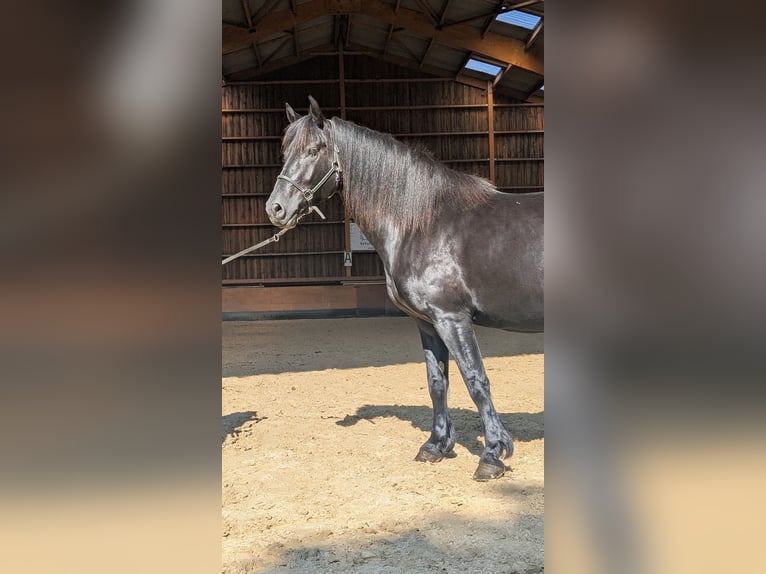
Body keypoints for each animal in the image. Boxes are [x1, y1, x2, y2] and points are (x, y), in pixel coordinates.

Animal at [265, 96, 543, 480]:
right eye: (284, 150)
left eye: (314, 149)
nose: (276, 209)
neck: (423, 223)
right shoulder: (427, 322)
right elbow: (437, 382)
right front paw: (436, 446)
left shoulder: (452, 318)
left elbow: (476, 379)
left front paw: (492, 455)